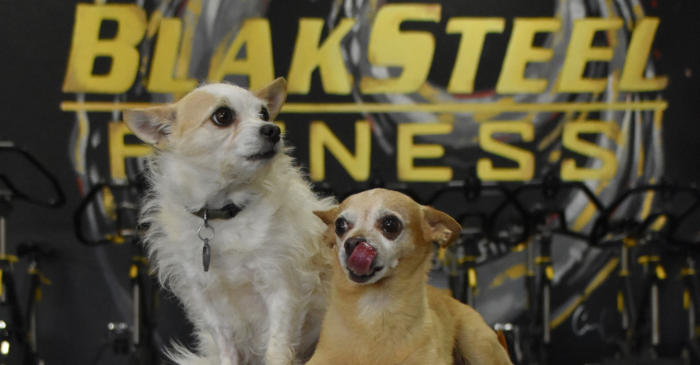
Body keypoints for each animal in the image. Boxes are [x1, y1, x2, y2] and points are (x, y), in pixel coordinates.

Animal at [124, 77, 332, 364]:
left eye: (263, 113)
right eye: (222, 116)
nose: (273, 130)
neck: (223, 213)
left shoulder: (281, 289)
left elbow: (277, 348)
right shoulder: (208, 302)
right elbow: (227, 349)